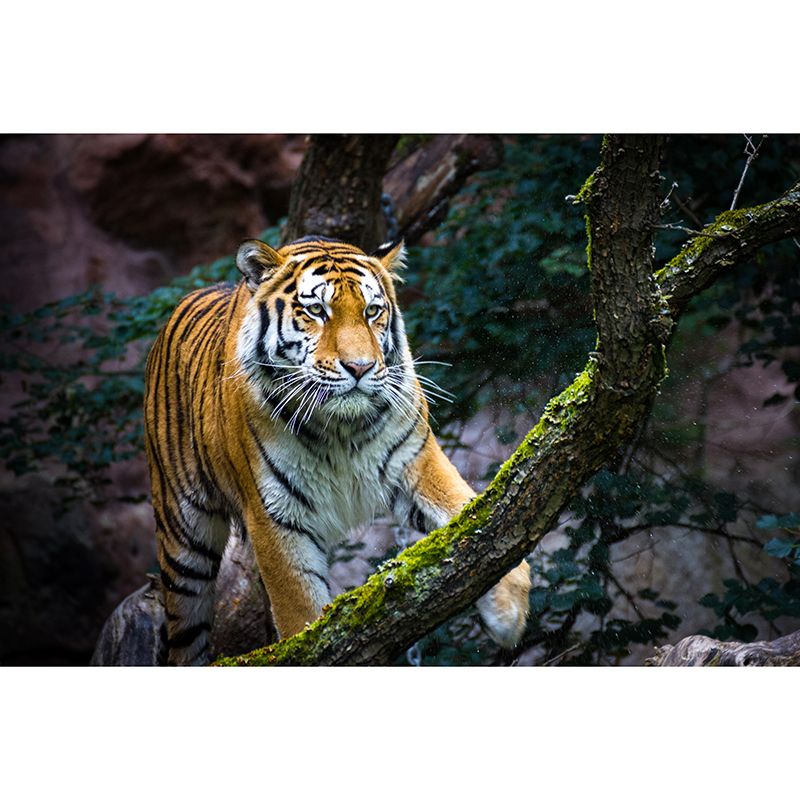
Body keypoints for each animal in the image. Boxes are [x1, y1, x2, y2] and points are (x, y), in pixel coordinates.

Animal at [144, 235, 531, 665]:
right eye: (316, 310)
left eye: (372, 311)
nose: (360, 368)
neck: (340, 428)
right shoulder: (275, 515)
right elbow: (299, 612)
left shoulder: (415, 460)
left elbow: (466, 507)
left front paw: (509, 610)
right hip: (184, 541)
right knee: (184, 631)